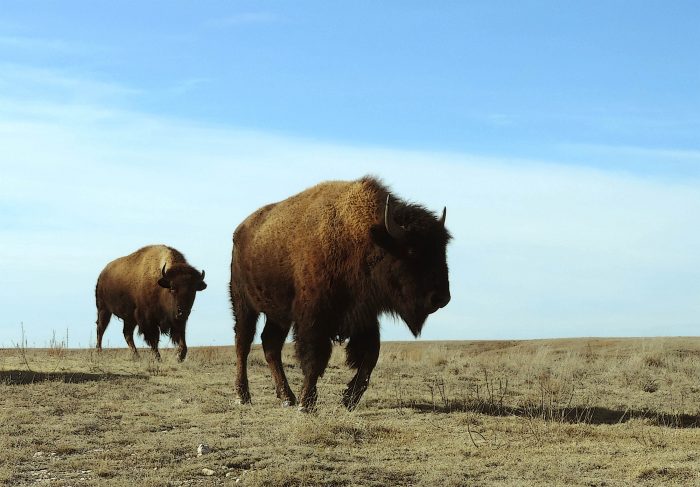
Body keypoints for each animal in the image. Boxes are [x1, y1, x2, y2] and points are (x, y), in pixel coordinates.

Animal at [230, 176, 451, 411]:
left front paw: (348, 400)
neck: (363, 240)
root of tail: (239, 231)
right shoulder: (313, 318)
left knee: (270, 344)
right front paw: (307, 403)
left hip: (278, 314)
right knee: (243, 344)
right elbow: (315, 358)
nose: (441, 298)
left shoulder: (364, 316)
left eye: (442, 249)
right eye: (412, 251)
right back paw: (244, 396)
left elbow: (369, 356)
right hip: (244, 305)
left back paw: (287, 398)